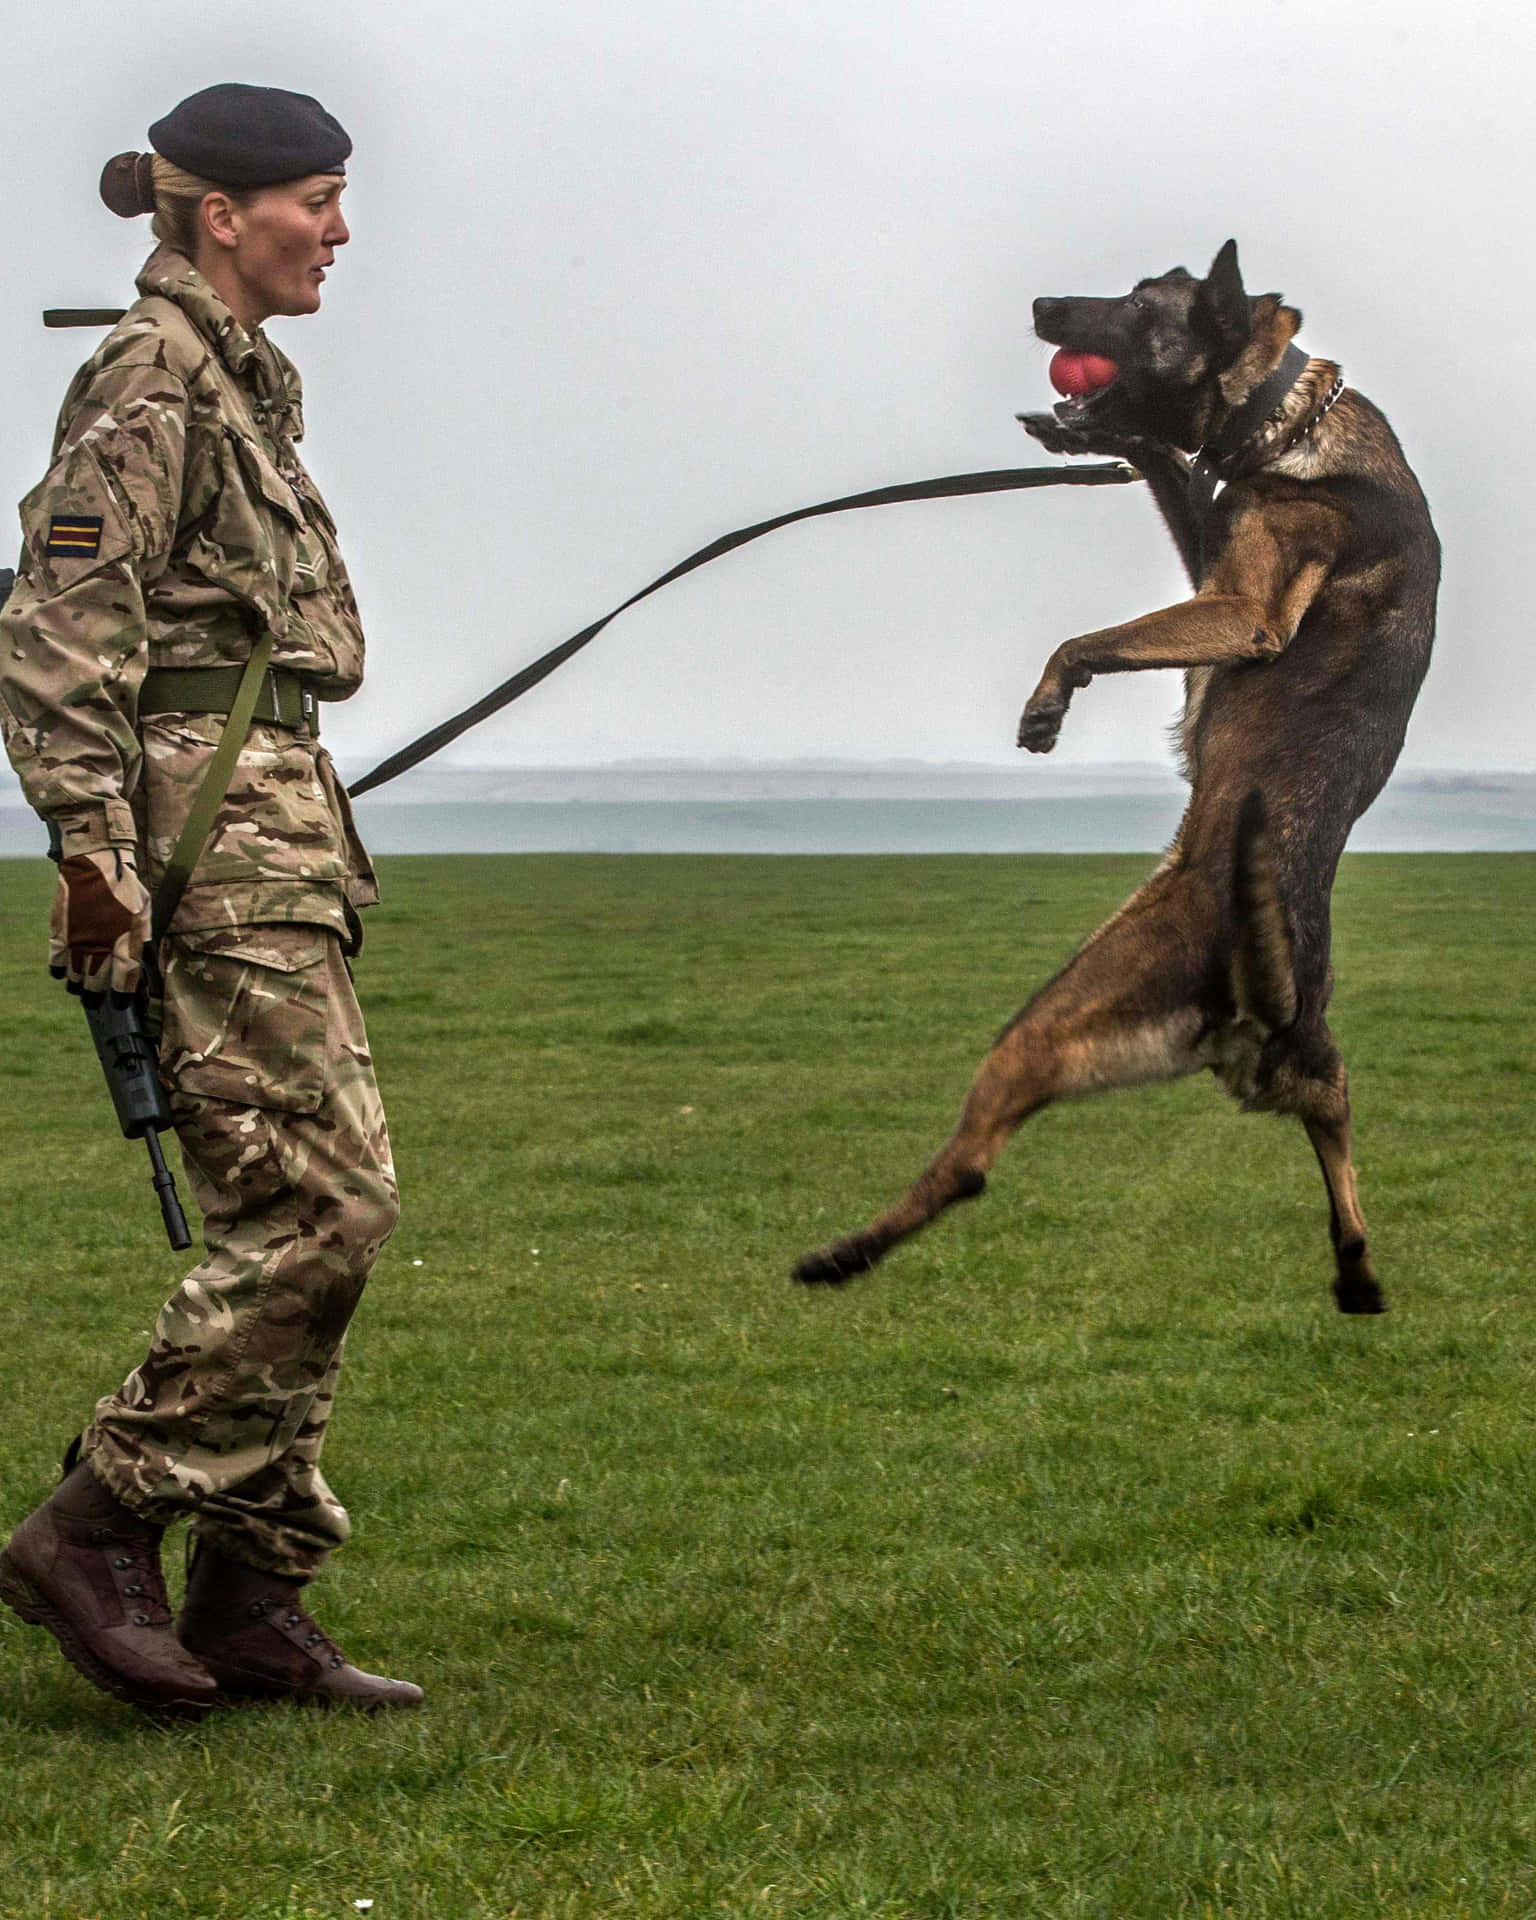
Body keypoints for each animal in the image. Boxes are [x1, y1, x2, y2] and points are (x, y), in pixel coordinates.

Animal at [791, 240, 1443, 1313]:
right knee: (1339, 1130)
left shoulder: (1244, 606)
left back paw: (845, 1252)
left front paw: (1049, 701)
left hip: (1048, 1022)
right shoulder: (1208, 558)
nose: (1042, 304)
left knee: (969, 1160)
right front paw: (1096, 439)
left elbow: (1089, 637)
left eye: (1141, 308)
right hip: (1312, 1066)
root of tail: (1259, 1011)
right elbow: (1174, 473)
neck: (1286, 410)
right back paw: (1356, 1274)